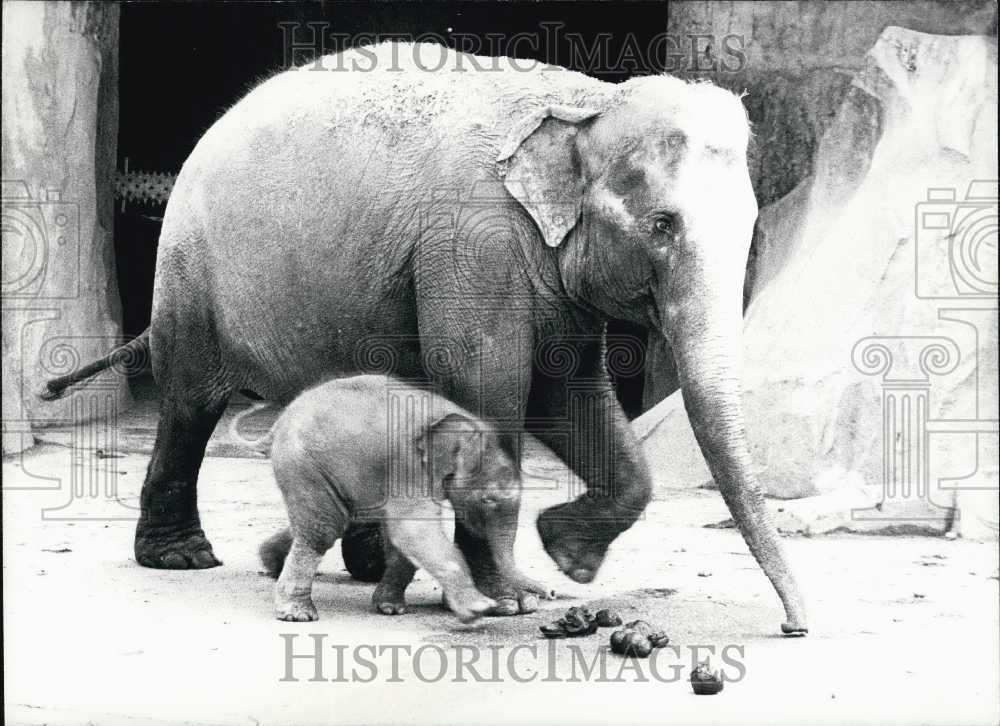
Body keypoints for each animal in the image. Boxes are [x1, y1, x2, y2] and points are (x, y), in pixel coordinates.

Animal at [254, 376, 552, 624]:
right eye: (487, 500)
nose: (550, 592)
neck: (460, 421)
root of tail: (277, 423)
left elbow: (401, 536)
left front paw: (390, 608)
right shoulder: (406, 464)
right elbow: (413, 530)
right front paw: (479, 609)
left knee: (340, 521)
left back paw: (270, 562)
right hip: (304, 466)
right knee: (324, 529)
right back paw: (298, 614)